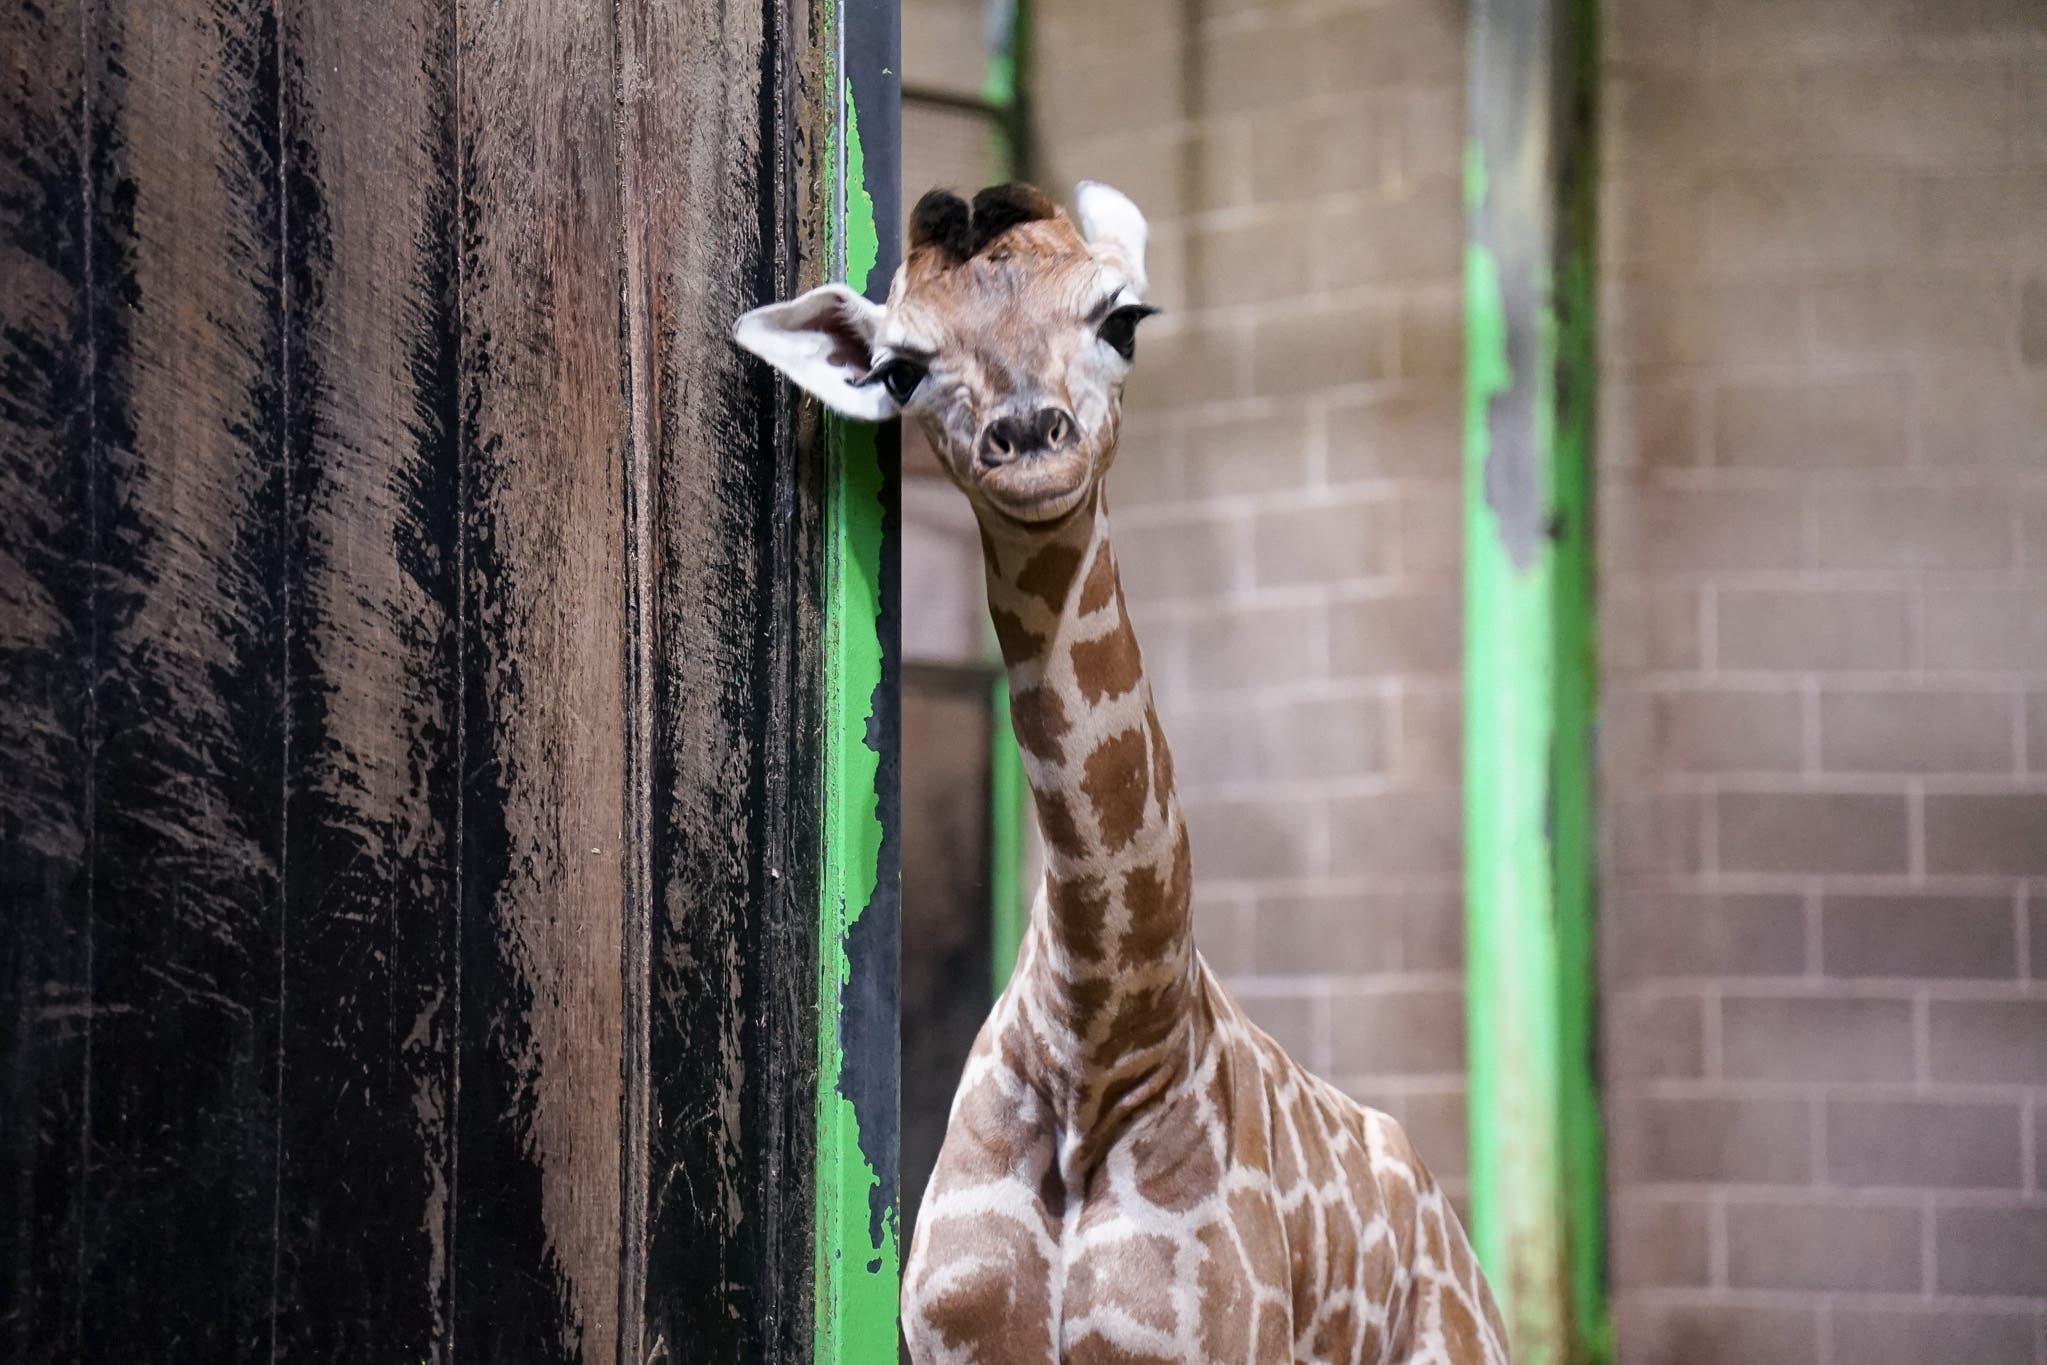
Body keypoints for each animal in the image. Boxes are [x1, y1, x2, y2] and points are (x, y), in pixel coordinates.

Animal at [736, 184, 1506, 1365]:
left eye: (1121, 318)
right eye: (904, 368)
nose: (1028, 436)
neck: (1101, 1039)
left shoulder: (1216, 1345)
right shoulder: (956, 1341)